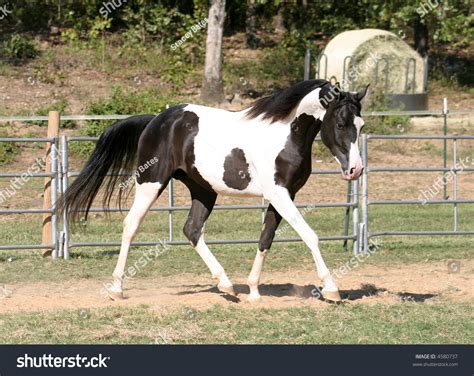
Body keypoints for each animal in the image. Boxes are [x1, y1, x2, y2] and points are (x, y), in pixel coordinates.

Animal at [61, 79, 368, 302]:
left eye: (361, 125)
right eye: (341, 123)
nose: (355, 169)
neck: (285, 135)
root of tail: (156, 120)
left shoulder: (284, 195)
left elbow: (265, 239)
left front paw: (253, 291)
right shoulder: (278, 194)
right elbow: (309, 235)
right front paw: (331, 289)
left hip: (204, 190)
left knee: (192, 229)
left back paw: (226, 284)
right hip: (151, 182)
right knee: (131, 225)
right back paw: (117, 289)